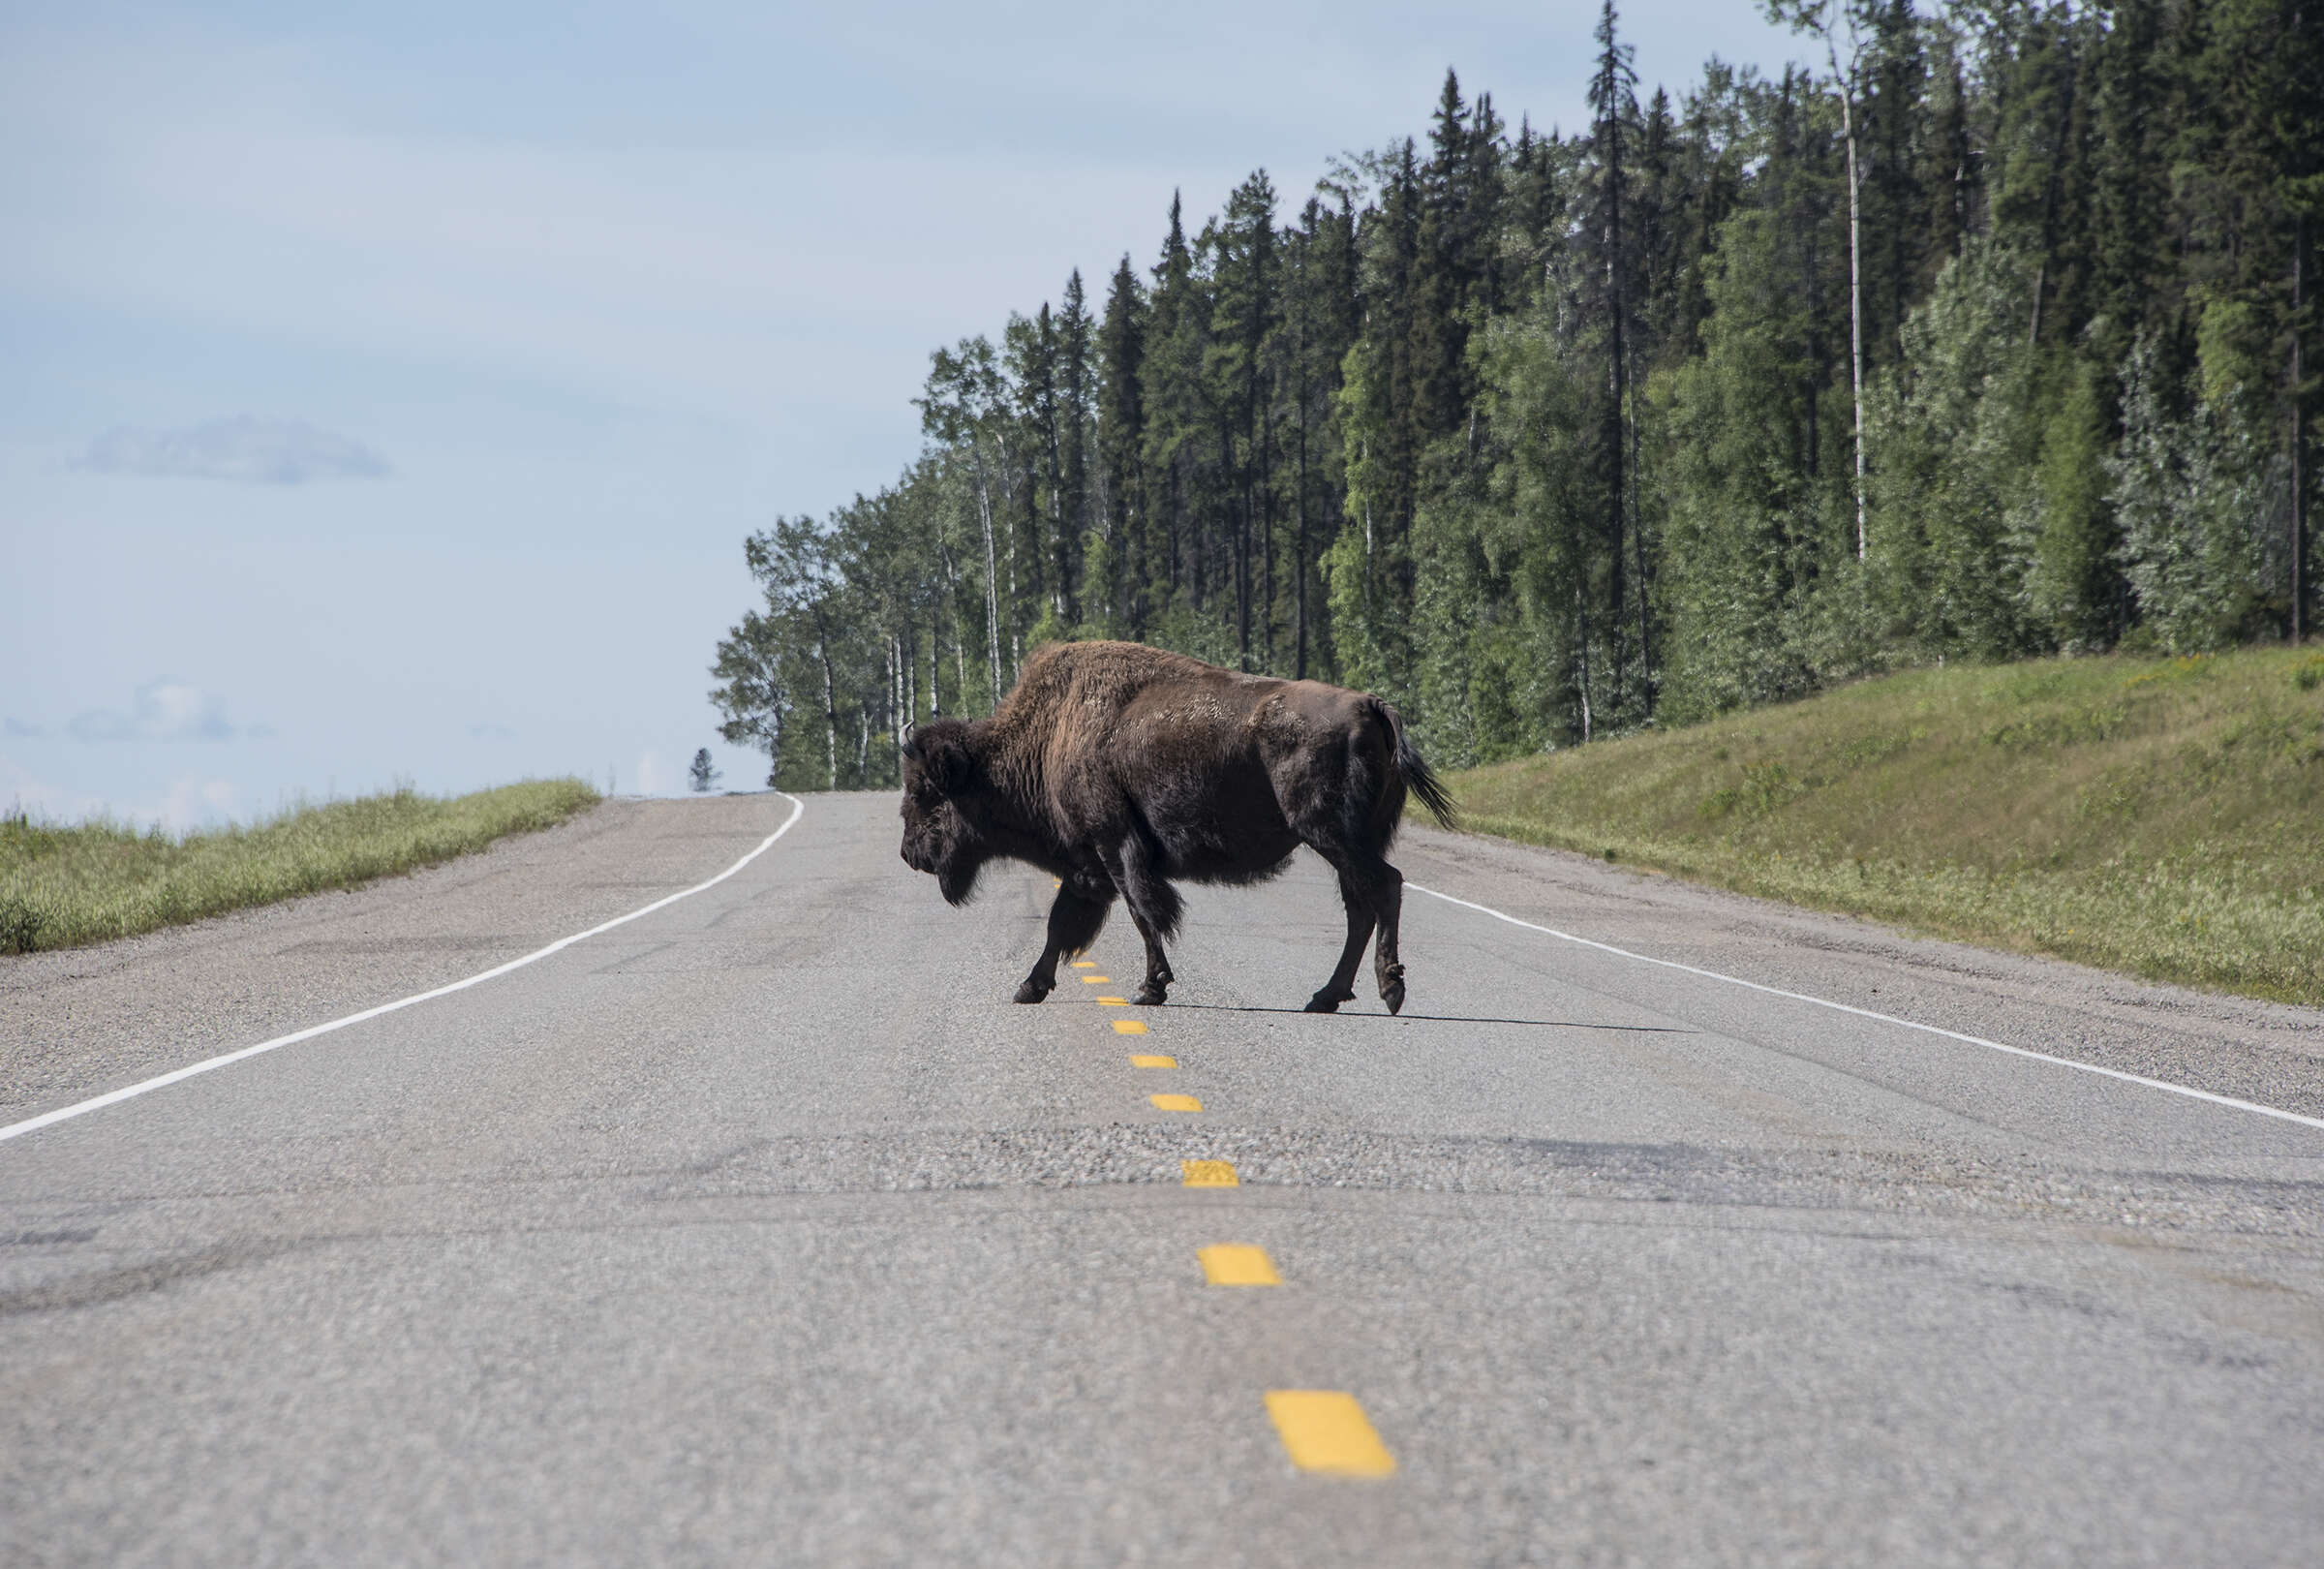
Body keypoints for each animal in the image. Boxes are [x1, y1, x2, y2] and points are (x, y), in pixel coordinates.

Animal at [892, 641, 1450, 1018]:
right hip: (1346, 841)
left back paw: (1390, 990)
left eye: (924, 792)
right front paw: (1029, 987)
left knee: (1383, 887)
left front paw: (1149, 988)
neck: (1051, 737)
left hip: (1330, 833)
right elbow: (1061, 925)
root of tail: (1369, 704)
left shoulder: (1115, 848)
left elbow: (1143, 914)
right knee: (1361, 906)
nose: (909, 853)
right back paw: (1325, 997)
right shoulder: (1087, 865)